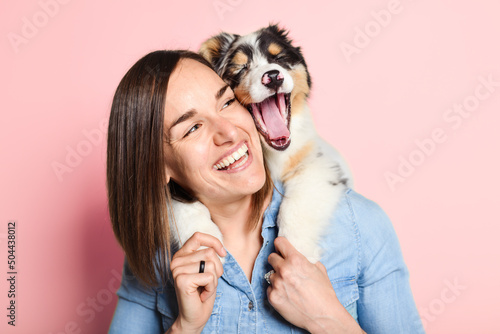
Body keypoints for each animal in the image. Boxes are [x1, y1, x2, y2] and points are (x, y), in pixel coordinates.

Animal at [170, 24, 354, 262]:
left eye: (280, 58)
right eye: (241, 67)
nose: (273, 77)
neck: (269, 152)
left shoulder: (318, 162)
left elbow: (296, 205)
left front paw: (297, 253)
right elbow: (180, 204)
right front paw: (204, 243)